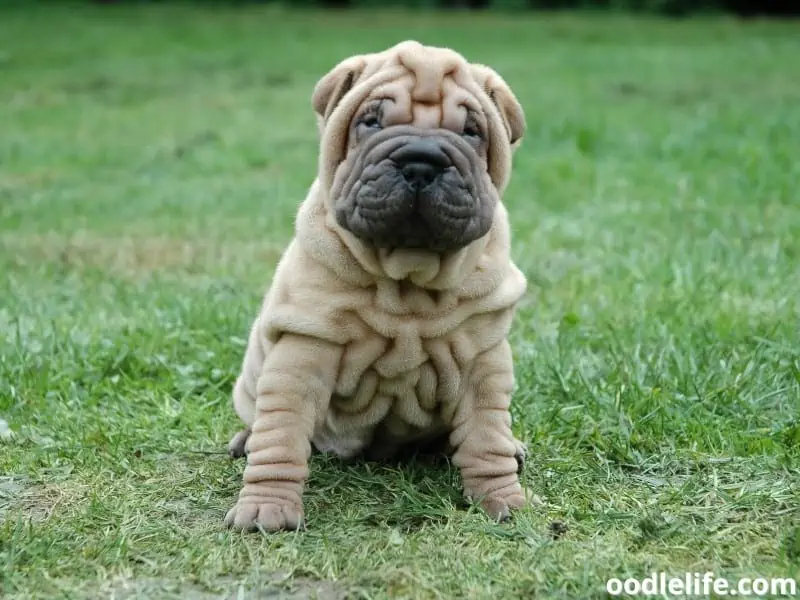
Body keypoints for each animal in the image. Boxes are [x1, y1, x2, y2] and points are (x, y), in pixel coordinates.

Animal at [223, 39, 532, 532]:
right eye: (370, 122)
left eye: (471, 131)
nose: (422, 161)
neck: (407, 279)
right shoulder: (303, 349)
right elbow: (281, 437)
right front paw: (266, 508)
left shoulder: (483, 359)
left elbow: (486, 438)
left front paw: (503, 499)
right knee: (260, 422)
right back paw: (244, 440)